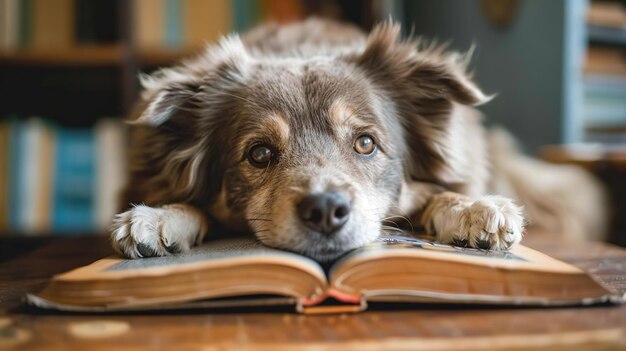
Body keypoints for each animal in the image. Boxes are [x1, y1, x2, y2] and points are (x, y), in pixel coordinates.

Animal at [108, 19, 604, 262]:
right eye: (259, 153)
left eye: (366, 144)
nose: (326, 210)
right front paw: (159, 218)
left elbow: (439, 194)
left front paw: (474, 210)